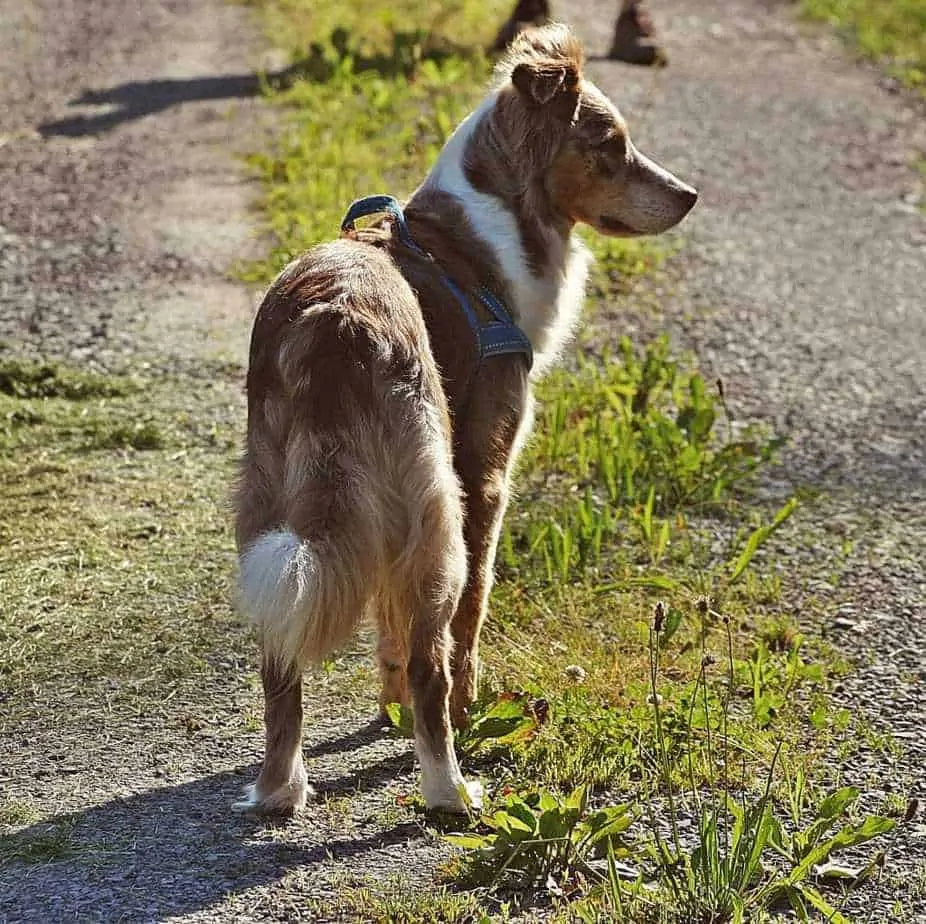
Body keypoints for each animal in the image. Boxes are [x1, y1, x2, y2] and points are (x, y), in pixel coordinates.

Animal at [232, 23, 696, 816]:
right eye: (610, 145)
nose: (691, 196)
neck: (487, 232)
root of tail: (331, 324)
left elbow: (385, 630)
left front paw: (384, 707)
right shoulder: (484, 476)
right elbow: (470, 617)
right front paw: (467, 708)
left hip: (273, 512)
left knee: (281, 658)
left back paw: (281, 791)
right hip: (436, 512)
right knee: (433, 654)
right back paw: (451, 789)